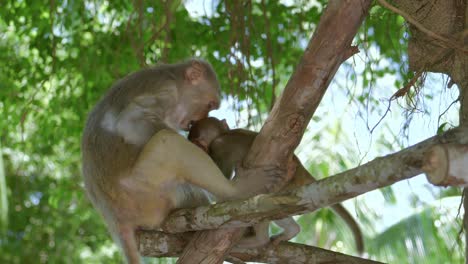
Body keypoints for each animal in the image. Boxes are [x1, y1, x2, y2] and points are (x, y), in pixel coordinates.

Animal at [81, 60, 282, 264]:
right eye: (210, 104)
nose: (199, 119)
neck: (173, 77)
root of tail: (114, 217)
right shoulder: (166, 91)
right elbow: (131, 122)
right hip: (141, 190)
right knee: (169, 141)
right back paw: (236, 191)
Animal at [188, 117, 364, 254]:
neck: (224, 134)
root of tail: (299, 167)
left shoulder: (218, 146)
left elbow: (222, 181)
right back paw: (292, 230)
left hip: (283, 182)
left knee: (258, 205)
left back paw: (259, 239)